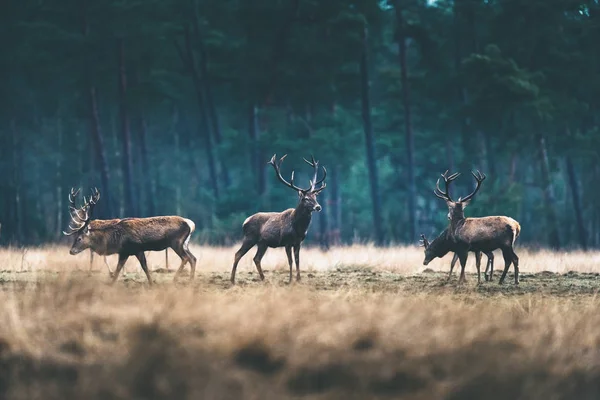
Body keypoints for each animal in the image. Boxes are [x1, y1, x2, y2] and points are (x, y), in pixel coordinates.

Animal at [63, 188, 196, 284]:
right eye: (75, 237)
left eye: (79, 238)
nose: (71, 251)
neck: (115, 239)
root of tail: (191, 224)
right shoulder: (124, 252)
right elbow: (118, 269)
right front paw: (111, 283)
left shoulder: (137, 248)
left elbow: (144, 267)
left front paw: (151, 283)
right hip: (185, 243)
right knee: (193, 258)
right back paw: (190, 280)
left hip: (176, 242)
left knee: (186, 258)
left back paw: (175, 279)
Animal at [230, 154, 326, 284]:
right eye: (305, 198)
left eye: (315, 196)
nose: (318, 207)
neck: (298, 228)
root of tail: (244, 222)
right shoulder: (287, 242)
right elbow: (290, 261)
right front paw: (290, 280)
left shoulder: (298, 242)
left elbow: (297, 261)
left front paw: (299, 280)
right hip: (250, 237)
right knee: (238, 254)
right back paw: (232, 280)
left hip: (262, 243)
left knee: (256, 258)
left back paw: (263, 279)